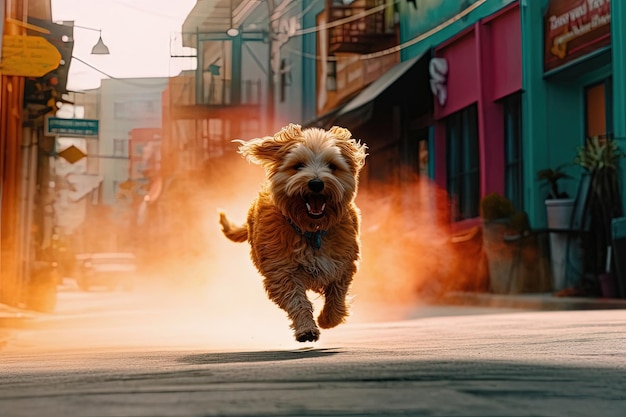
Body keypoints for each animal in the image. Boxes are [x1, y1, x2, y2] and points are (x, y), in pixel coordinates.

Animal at [219, 122, 366, 342]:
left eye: (332, 166)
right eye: (298, 165)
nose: (316, 183)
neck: (312, 231)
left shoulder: (342, 264)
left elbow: (337, 293)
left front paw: (328, 319)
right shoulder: (282, 270)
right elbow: (297, 301)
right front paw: (307, 329)